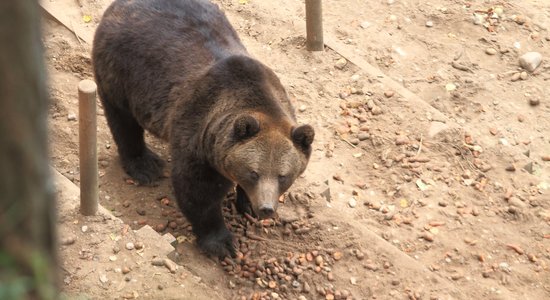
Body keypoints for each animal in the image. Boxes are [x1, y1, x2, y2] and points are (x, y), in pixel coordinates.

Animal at [91, 0, 314, 258]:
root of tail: (117, 6)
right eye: (254, 172)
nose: (266, 208)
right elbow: (197, 191)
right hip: (122, 70)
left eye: (283, 176)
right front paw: (222, 243)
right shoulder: (198, 131)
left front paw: (247, 204)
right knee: (123, 119)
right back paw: (145, 165)